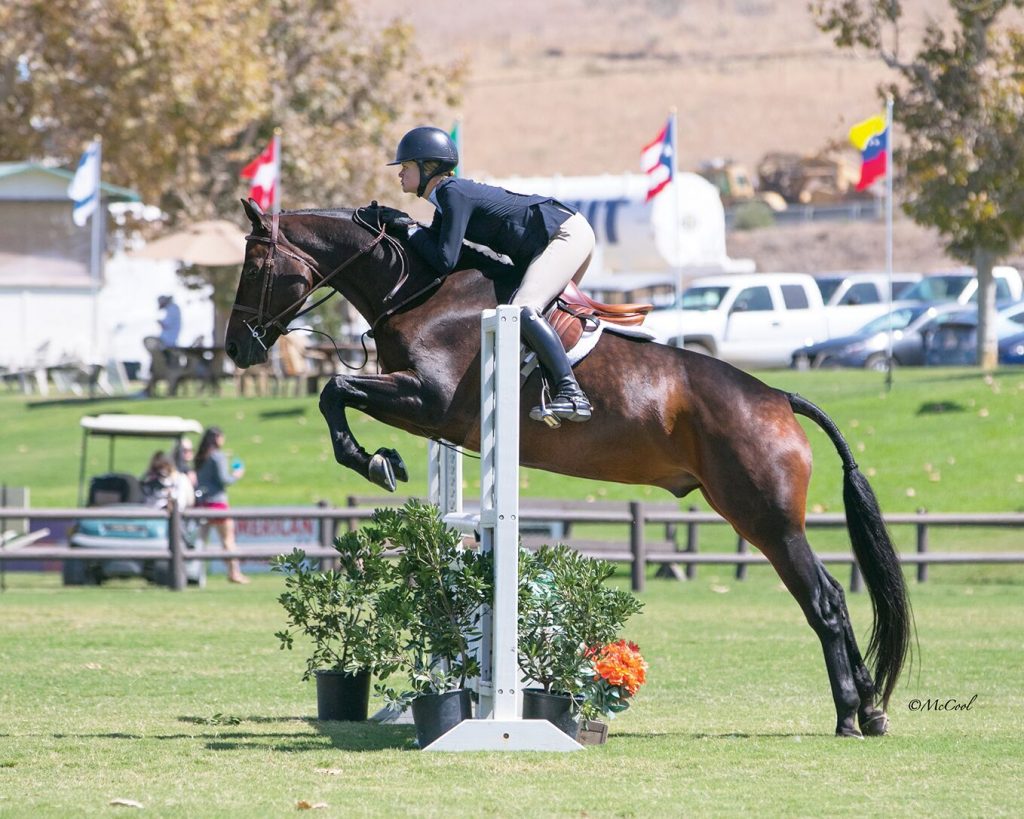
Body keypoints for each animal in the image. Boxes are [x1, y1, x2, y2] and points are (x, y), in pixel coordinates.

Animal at [226, 199, 911, 738]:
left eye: (254, 268)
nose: (236, 349)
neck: (419, 290)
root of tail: (779, 398)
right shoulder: (426, 411)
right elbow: (338, 391)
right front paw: (378, 458)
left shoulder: (428, 399)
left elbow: (334, 389)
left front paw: (373, 461)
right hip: (765, 518)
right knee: (834, 596)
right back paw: (872, 710)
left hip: (765, 519)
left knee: (824, 601)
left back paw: (850, 716)